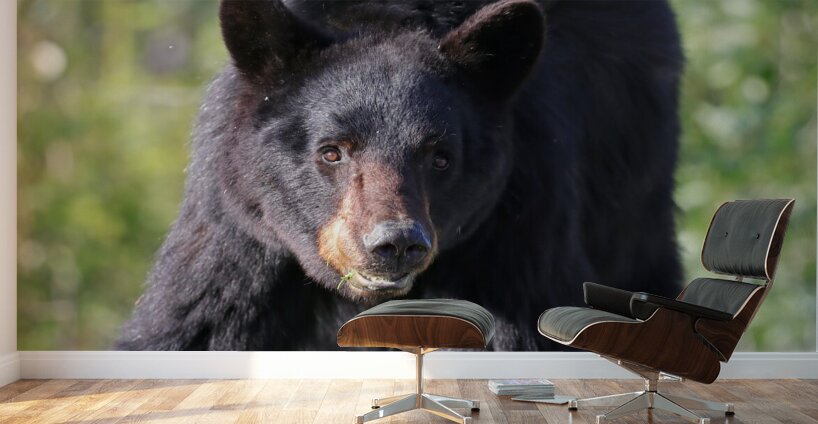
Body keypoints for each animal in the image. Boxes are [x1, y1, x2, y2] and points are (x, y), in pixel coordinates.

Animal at [115, 0, 683, 351]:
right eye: (332, 152)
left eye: (440, 157)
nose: (395, 244)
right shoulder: (242, 231)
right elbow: (197, 325)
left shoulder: (517, 221)